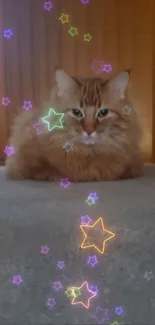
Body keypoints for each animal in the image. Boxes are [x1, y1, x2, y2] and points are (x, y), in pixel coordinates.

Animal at [5, 69, 143, 181]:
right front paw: (54, 175)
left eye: (103, 113)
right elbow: (41, 169)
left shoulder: (132, 163)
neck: (87, 153)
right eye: (76, 112)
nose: (89, 130)